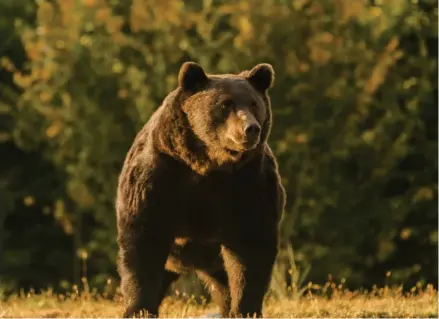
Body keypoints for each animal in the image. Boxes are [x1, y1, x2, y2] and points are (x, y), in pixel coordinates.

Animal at [116, 61, 286, 318]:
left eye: (254, 104)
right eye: (226, 103)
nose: (251, 129)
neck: (209, 164)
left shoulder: (249, 183)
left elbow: (250, 246)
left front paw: (245, 309)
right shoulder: (159, 176)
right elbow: (143, 241)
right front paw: (139, 309)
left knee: (223, 282)